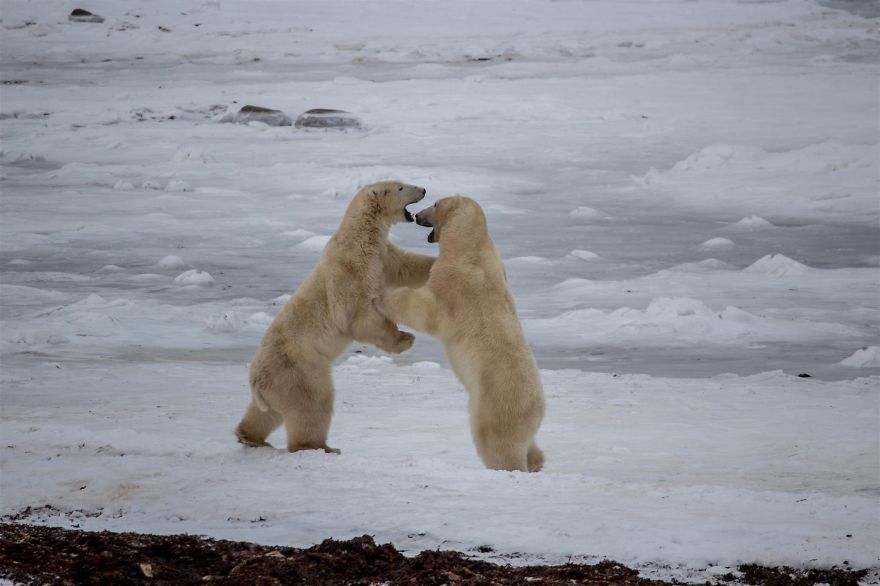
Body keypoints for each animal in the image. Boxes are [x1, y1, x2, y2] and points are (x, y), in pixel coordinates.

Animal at [235, 181, 435, 454]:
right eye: (402, 187)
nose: (423, 189)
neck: (359, 238)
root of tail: (257, 380)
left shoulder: (383, 257)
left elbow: (408, 266)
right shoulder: (349, 272)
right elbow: (358, 317)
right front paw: (406, 339)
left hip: (277, 384)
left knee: (266, 413)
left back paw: (249, 436)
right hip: (299, 368)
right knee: (313, 401)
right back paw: (321, 446)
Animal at [378, 195, 545, 472]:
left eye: (434, 204)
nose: (417, 215)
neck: (470, 245)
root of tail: (538, 407)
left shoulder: (454, 282)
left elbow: (425, 309)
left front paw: (381, 296)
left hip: (496, 404)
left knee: (497, 442)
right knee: (530, 443)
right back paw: (536, 461)